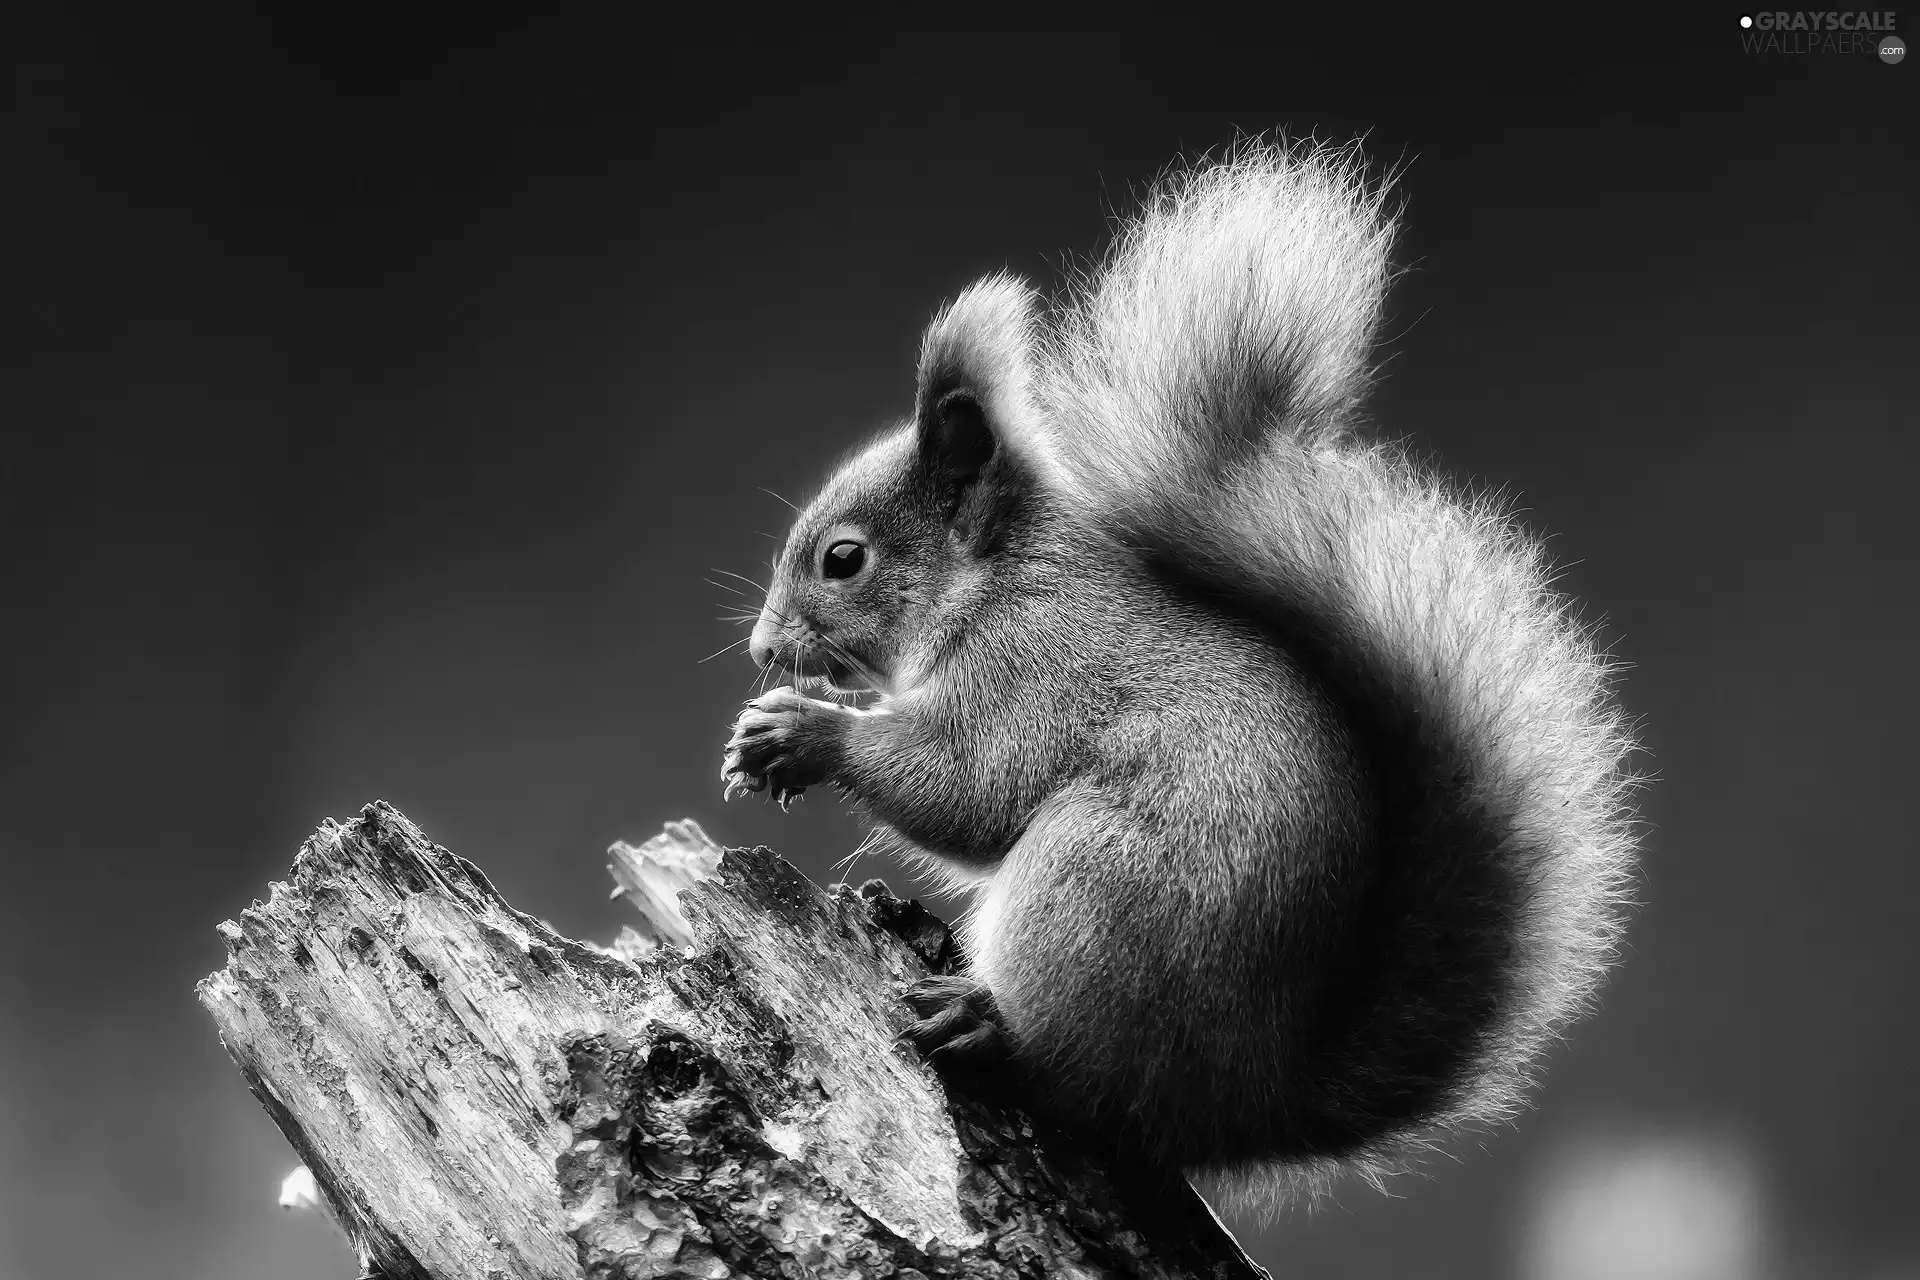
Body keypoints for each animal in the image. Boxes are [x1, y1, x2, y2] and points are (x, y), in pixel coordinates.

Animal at [721, 140, 1635, 1212]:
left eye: (844, 559)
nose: (764, 649)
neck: (999, 578)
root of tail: (1245, 1103)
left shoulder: (1036, 665)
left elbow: (970, 787)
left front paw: (801, 733)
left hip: (1097, 887)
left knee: (1072, 1075)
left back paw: (986, 1027)